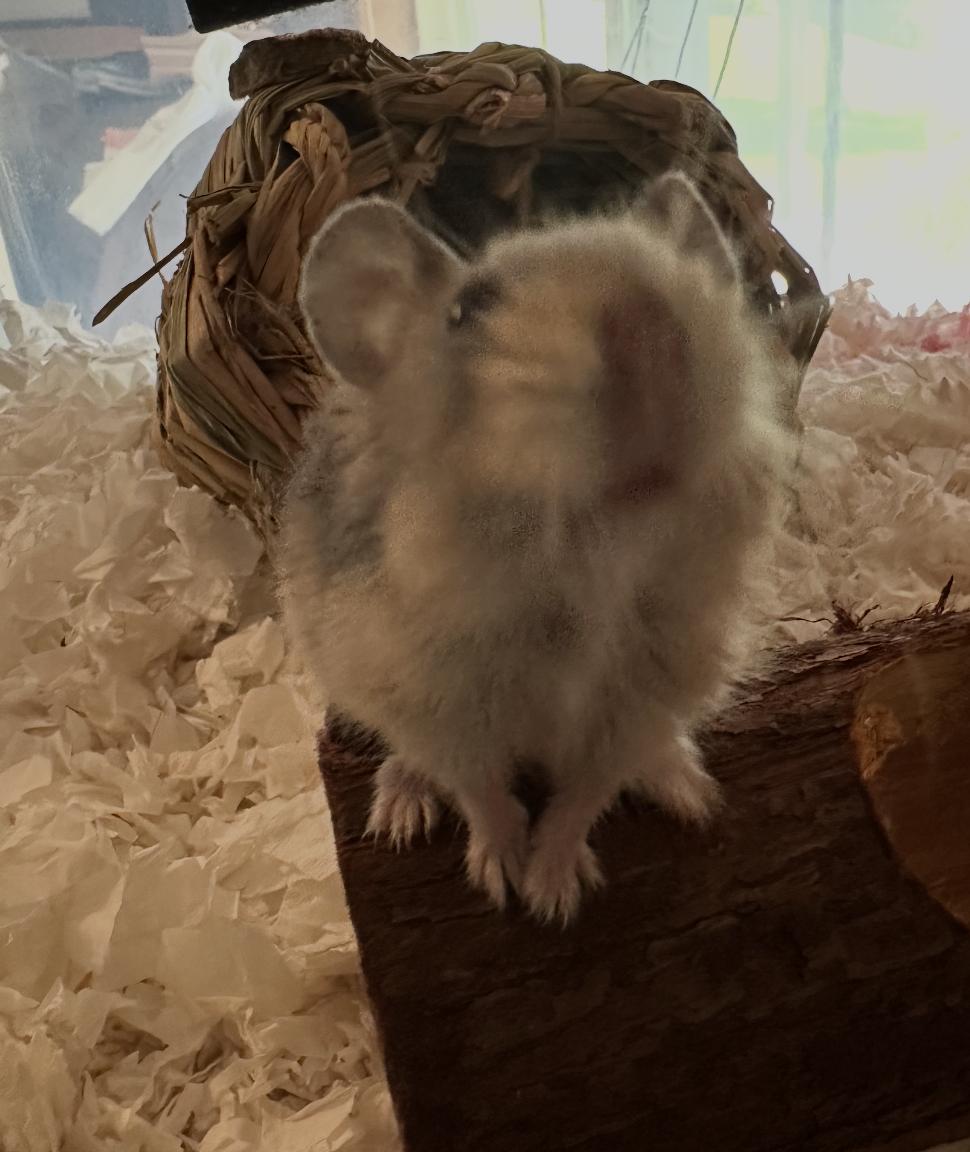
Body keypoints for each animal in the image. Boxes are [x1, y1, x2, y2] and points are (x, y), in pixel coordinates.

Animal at [279, 173, 796, 926]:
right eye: (465, 310)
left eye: (686, 274)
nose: (651, 334)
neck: (583, 563)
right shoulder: (430, 699)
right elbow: (480, 791)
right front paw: (504, 882)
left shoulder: (642, 696)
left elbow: (583, 796)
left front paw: (554, 895)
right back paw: (399, 814)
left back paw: (688, 790)